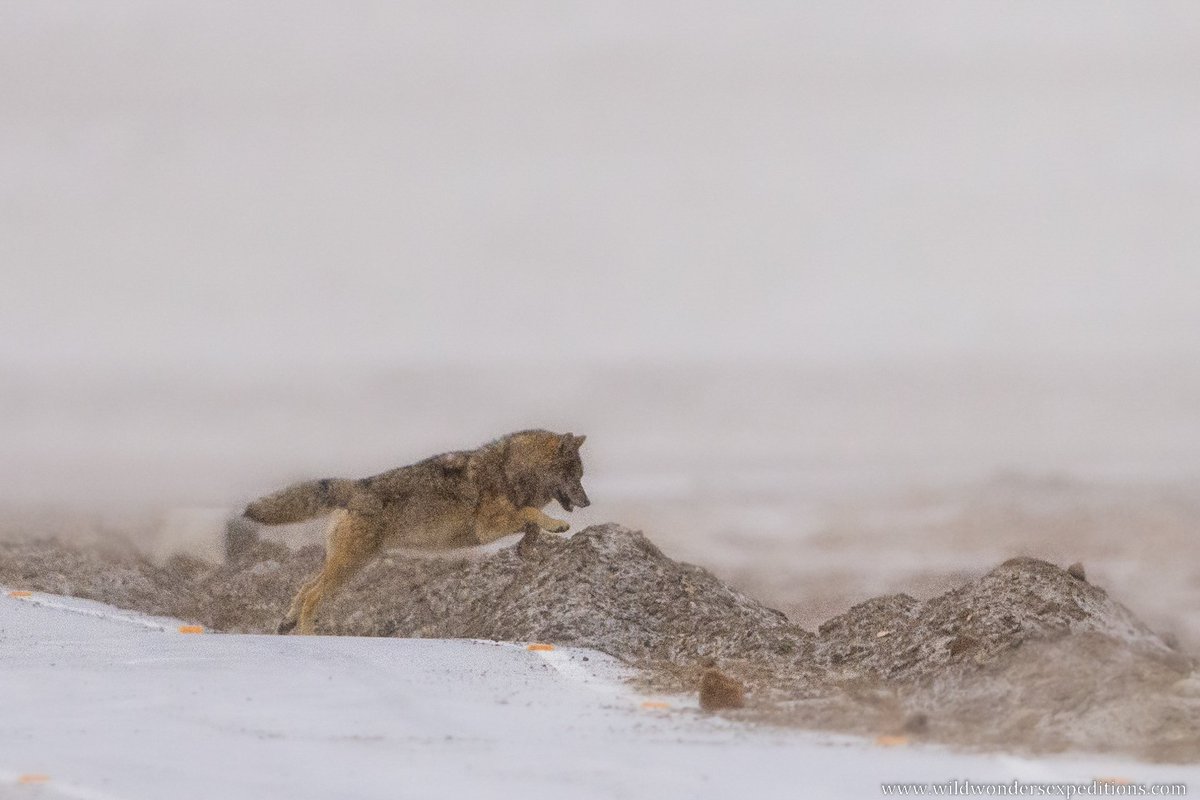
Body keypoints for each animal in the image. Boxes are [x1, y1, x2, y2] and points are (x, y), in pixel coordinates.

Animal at [240, 430, 590, 635]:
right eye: (575, 475)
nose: (588, 502)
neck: (510, 471)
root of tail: (356, 486)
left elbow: (531, 521)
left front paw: (528, 547)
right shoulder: (488, 526)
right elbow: (531, 513)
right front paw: (557, 525)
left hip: (350, 564)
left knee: (304, 587)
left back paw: (287, 622)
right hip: (350, 566)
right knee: (312, 594)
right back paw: (307, 634)